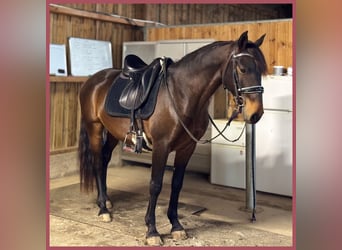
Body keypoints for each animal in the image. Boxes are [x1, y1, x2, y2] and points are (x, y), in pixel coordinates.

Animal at [78, 30, 268, 244]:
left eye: (261, 71)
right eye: (243, 69)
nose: (256, 114)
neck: (181, 95)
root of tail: (93, 79)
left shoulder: (187, 148)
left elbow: (177, 184)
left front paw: (176, 225)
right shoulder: (161, 147)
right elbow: (155, 185)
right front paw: (152, 231)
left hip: (112, 133)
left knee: (103, 161)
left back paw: (106, 201)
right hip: (94, 128)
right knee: (96, 162)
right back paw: (103, 209)